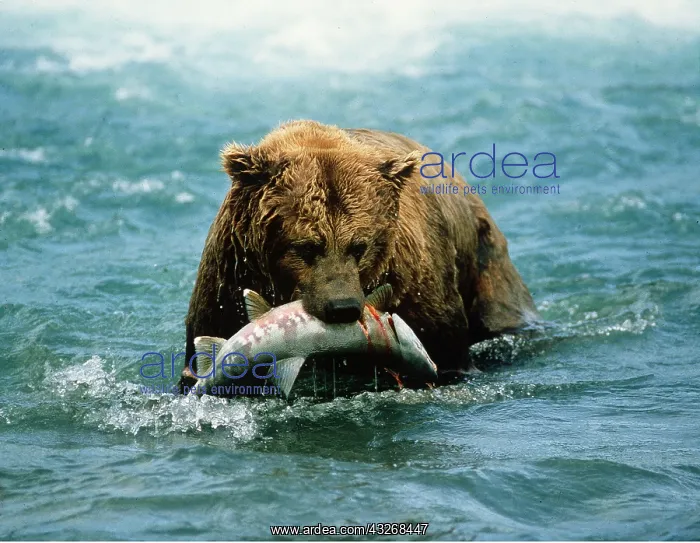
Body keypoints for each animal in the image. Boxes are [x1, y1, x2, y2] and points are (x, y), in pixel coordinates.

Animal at [178, 120, 539, 393]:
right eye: (306, 246)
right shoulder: (229, 277)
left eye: (359, 245)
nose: (343, 307)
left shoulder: (413, 282)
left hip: (486, 262)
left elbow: (445, 348)